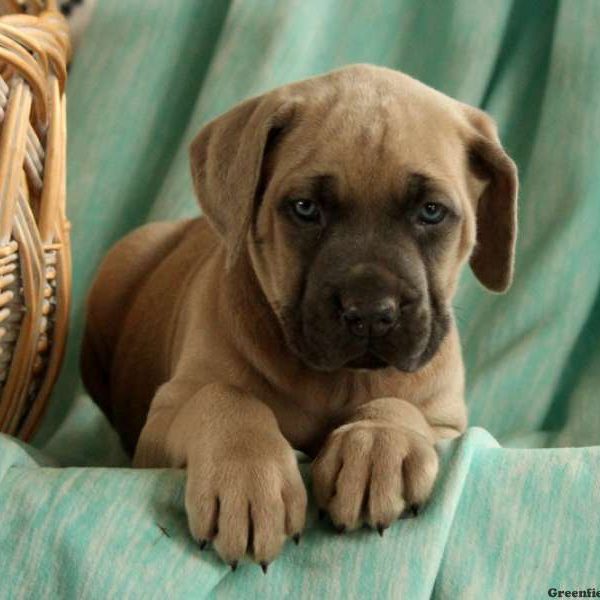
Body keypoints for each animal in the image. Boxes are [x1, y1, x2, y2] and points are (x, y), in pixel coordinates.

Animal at [82, 63, 516, 568]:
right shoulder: (163, 418)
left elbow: (398, 403)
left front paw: (375, 444)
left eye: (431, 211)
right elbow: (223, 396)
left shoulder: (446, 422)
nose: (370, 312)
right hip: (123, 260)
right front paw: (247, 477)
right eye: (305, 208)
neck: (338, 380)